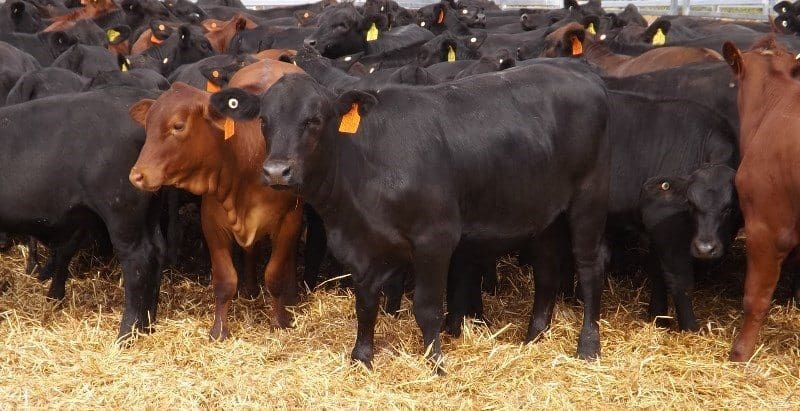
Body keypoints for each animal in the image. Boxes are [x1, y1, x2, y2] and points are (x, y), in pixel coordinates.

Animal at [128, 58, 306, 342]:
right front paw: (219, 330)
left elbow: (276, 275)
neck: (247, 157)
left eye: (178, 126)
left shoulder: (290, 220)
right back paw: (249, 289)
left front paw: (278, 323)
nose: (138, 175)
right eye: (148, 126)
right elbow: (224, 280)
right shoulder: (212, 222)